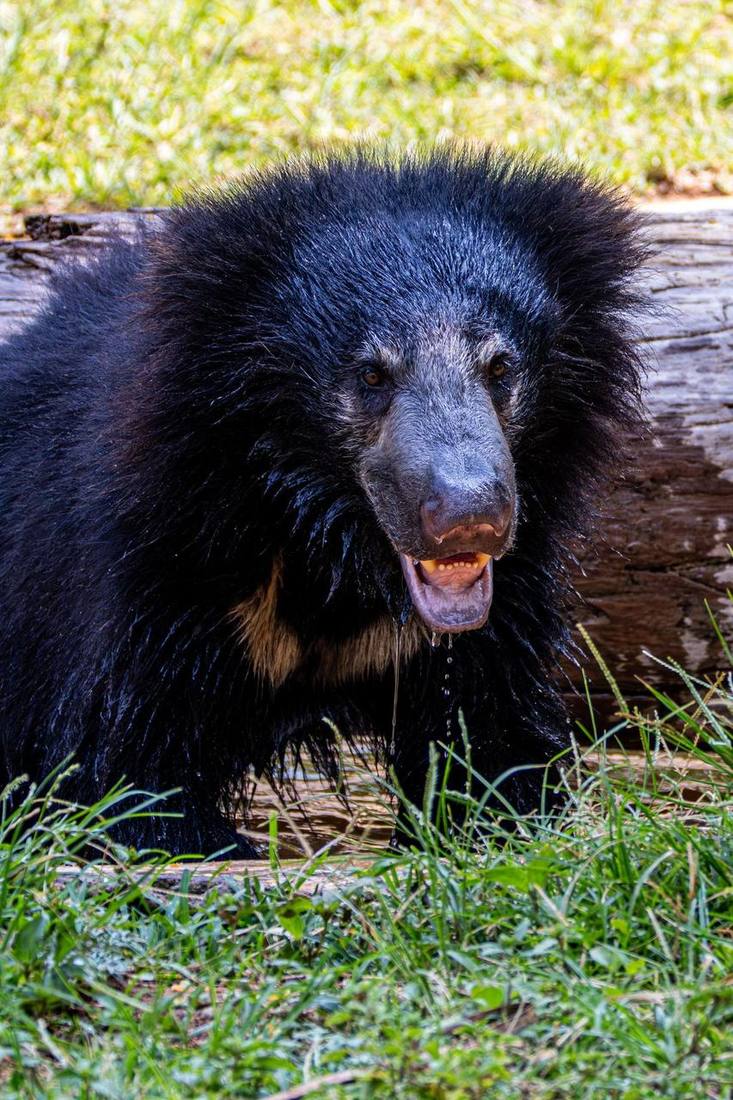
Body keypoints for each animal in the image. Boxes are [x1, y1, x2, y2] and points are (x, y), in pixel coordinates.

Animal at [0, 148, 645, 857]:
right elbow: (129, 762)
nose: (469, 516)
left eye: (500, 368)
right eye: (371, 375)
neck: (328, 538)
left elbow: (490, 733)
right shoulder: (162, 562)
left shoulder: (494, 608)